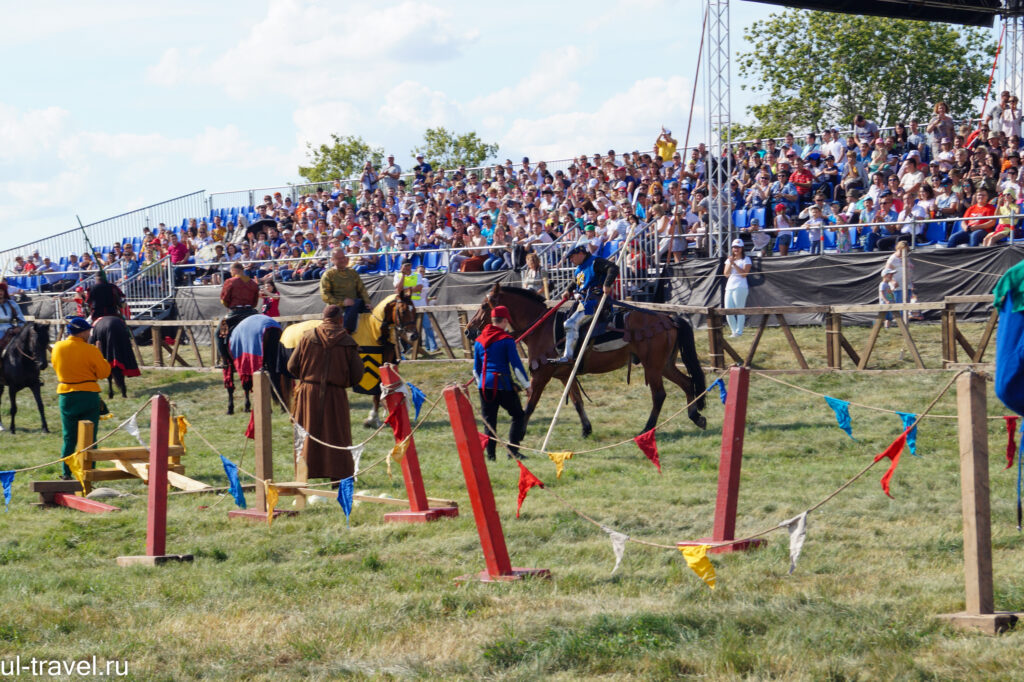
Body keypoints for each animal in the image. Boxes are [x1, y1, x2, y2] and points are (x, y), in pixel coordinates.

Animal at [468, 282, 708, 436]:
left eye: (484, 306)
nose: (469, 331)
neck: (541, 328)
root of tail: (669, 318)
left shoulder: (540, 376)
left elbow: (530, 405)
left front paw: (518, 434)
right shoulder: (566, 375)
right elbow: (577, 401)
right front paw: (586, 429)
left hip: (653, 366)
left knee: (659, 395)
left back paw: (647, 428)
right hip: (664, 365)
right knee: (688, 383)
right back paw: (696, 416)